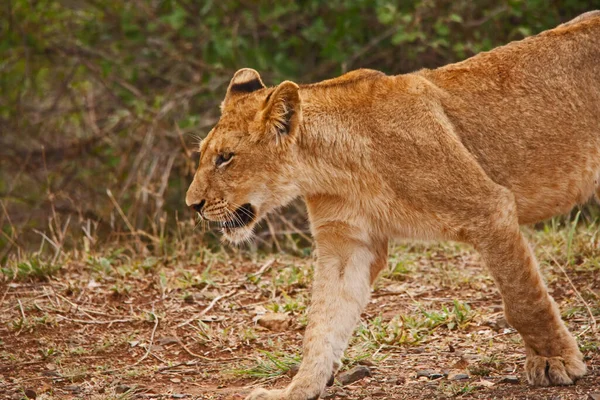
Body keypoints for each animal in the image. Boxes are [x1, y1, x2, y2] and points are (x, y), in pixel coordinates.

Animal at [188, 11, 600, 400]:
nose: (194, 204)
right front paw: (296, 389)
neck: (332, 168)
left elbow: (522, 298)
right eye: (203, 154)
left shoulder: (489, 207)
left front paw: (554, 360)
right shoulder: (347, 243)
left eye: (225, 158)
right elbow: (323, 323)